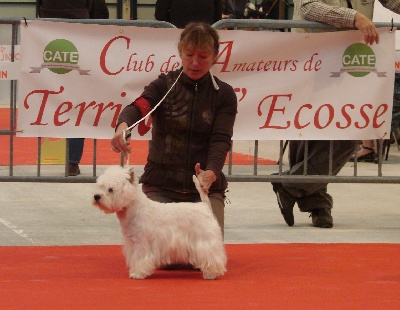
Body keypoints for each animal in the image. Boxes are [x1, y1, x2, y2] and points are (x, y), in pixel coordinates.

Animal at [92, 166, 227, 280]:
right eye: (100, 186)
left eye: (111, 189)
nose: (96, 196)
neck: (134, 208)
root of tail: (204, 206)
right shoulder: (132, 242)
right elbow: (134, 257)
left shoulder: (142, 243)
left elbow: (140, 258)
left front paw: (137, 274)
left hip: (204, 239)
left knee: (211, 256)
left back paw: (211, 274)